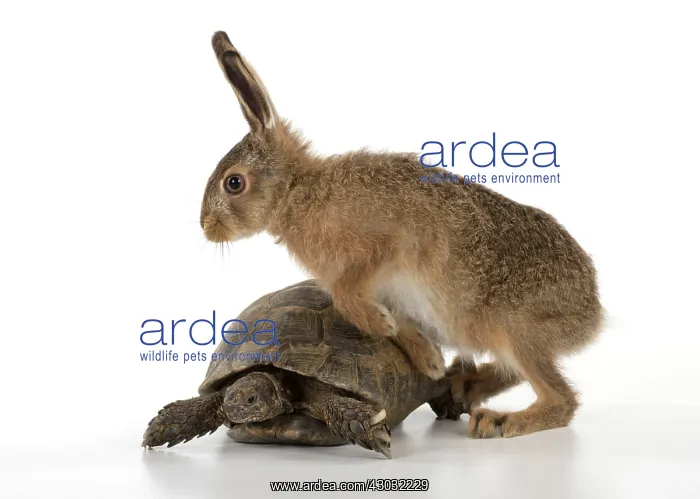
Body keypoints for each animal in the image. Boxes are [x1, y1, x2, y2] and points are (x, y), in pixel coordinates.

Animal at [200, 31, 604, 439]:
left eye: (234, 183)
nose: (206, 228)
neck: (296, 193)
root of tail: (591, 314)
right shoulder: (392, 294)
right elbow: (394, 322)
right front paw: (428, 358)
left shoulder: (391, 246)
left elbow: (348, 293)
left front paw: (386, 327)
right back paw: (462, 385)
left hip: (515, 331)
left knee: (561, 399)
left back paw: (500, 420)